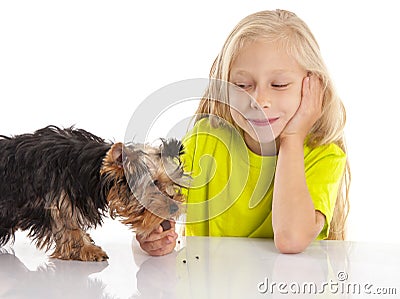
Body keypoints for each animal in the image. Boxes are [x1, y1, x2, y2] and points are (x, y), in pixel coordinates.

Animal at [0, 126, 188, 262]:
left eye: (171, 183)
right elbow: (67, 224)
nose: (174, 208)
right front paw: (87, 249)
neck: (91, 171)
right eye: (153, 183)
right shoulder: (57, 197)